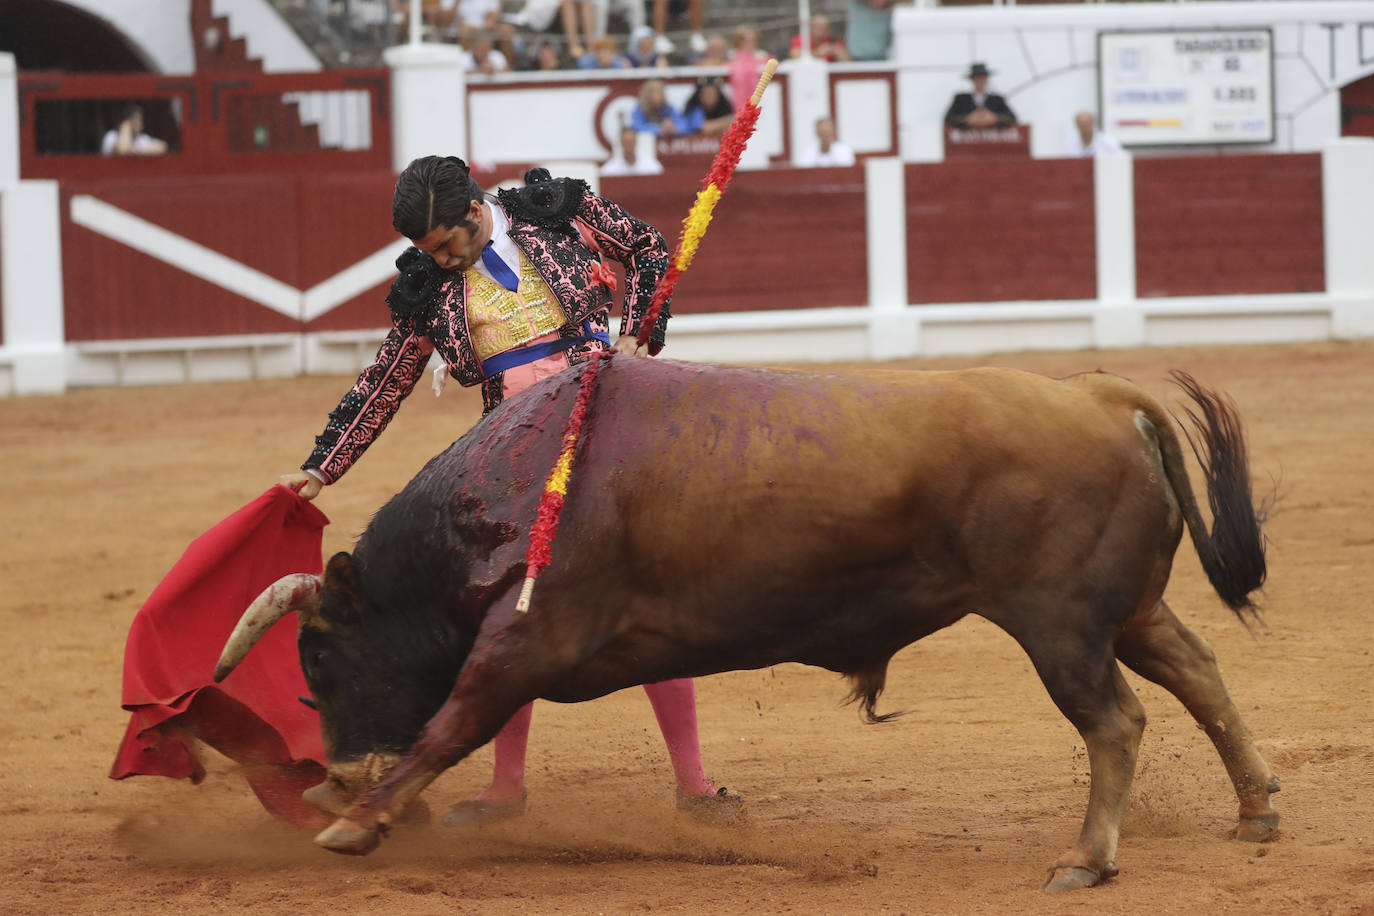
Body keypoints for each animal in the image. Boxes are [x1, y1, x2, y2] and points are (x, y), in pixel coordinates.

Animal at [214, 357, 1275, 889]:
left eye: (320, 657)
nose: (336, 770)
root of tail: (1098, 393)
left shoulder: (527, 640)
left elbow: (452, 723)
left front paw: (355, 824)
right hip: (1124, 609)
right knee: (1199, 668)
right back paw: (1256, 808)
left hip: (1059, 623)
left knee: (1116, 720)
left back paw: (1088, 860)